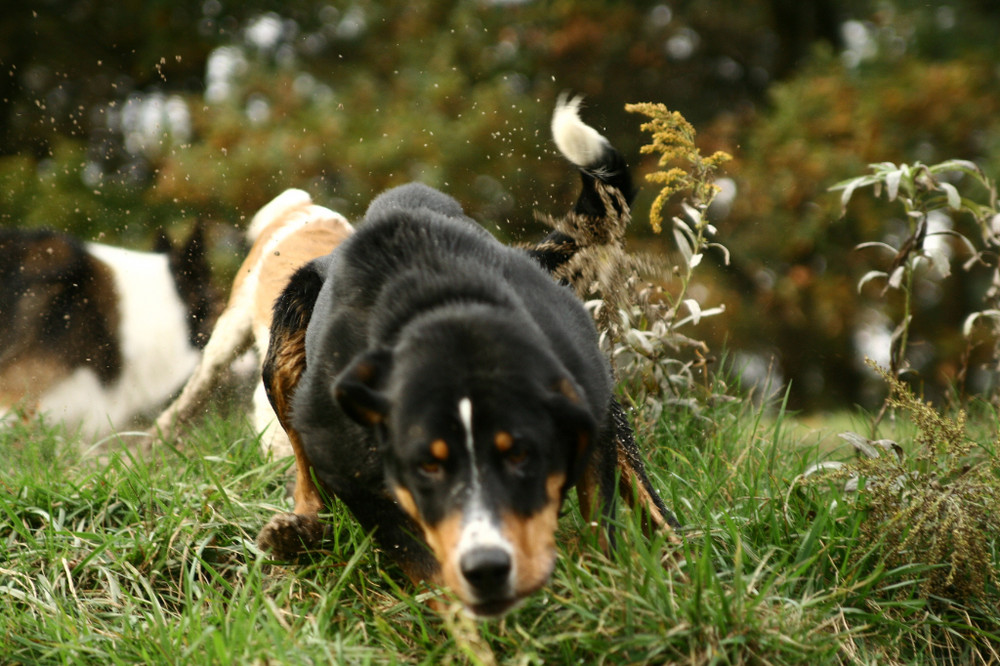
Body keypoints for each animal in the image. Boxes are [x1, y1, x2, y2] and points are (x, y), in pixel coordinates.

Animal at [258, 97, 680, 616]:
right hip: (282, 356)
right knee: (304, 472)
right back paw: (297, 530)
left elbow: (601, 527)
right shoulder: (357, 473)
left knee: (652, 503)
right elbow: (425, 560)